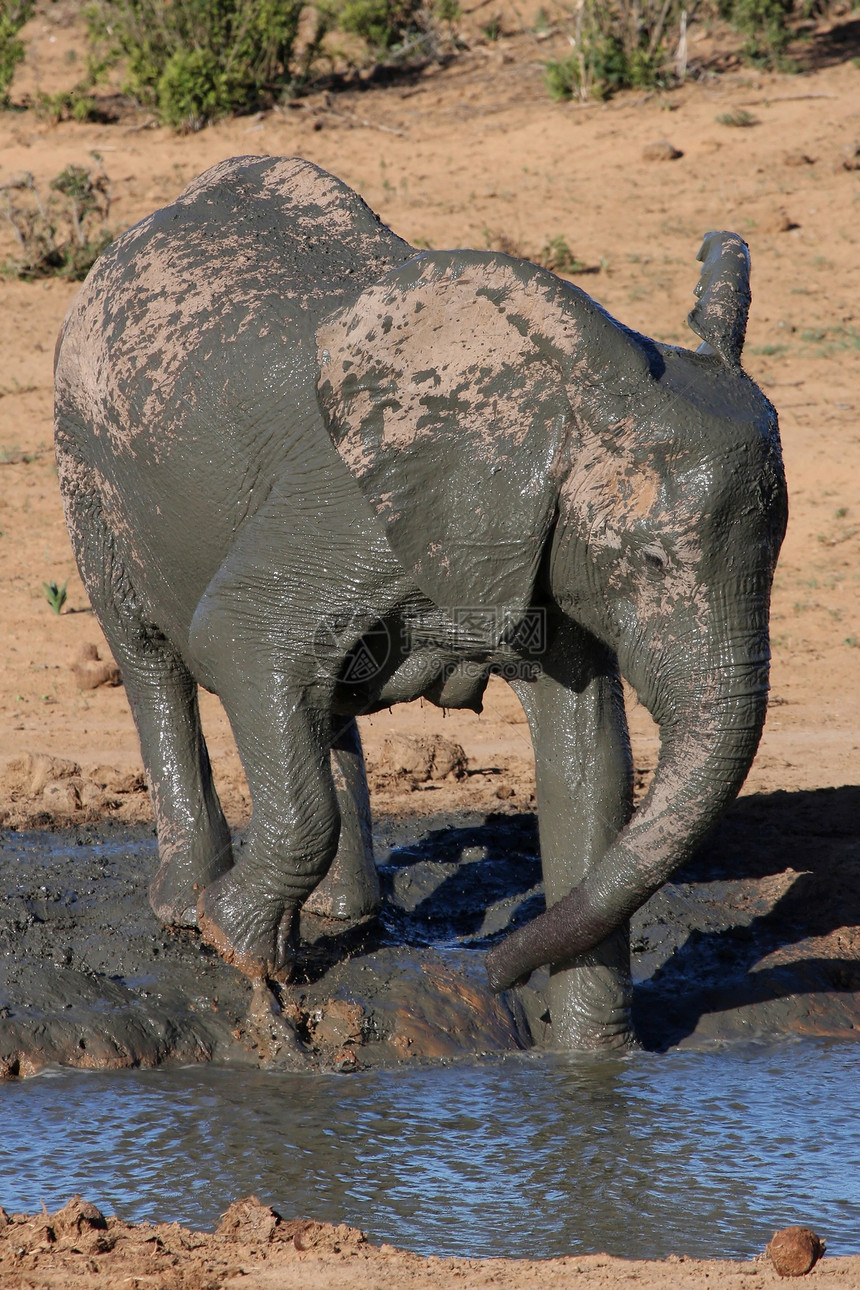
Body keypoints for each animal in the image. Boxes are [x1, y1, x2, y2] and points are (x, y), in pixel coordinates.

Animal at [53, 156, 789, 1052]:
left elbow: (590, 764)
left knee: (318, 699)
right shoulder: (347, 513)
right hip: (86, 454)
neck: (561, 398)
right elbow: (239, 639)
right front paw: (237, 945)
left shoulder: (532, 535)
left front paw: (594, 1061)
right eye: (649, 560)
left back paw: (342, 912)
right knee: (150, 653)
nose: (495, 970)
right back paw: (188, 907)